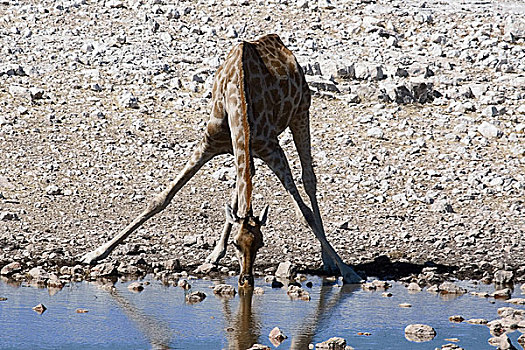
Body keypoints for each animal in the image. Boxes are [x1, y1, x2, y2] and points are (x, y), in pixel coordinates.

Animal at [81, 34, 360, 288]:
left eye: (261, 243)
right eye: (238, 243)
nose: (246, 279)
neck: (238, 101)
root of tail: (278, 41)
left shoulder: (272, 149)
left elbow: (304, 214)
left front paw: (348, 272)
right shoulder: (210, 143)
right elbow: (161, 198)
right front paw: (95, 254)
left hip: (301, 111)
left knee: (308, 178)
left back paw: (328, 260)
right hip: (250, 145)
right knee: (242, 185)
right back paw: (214, 255)